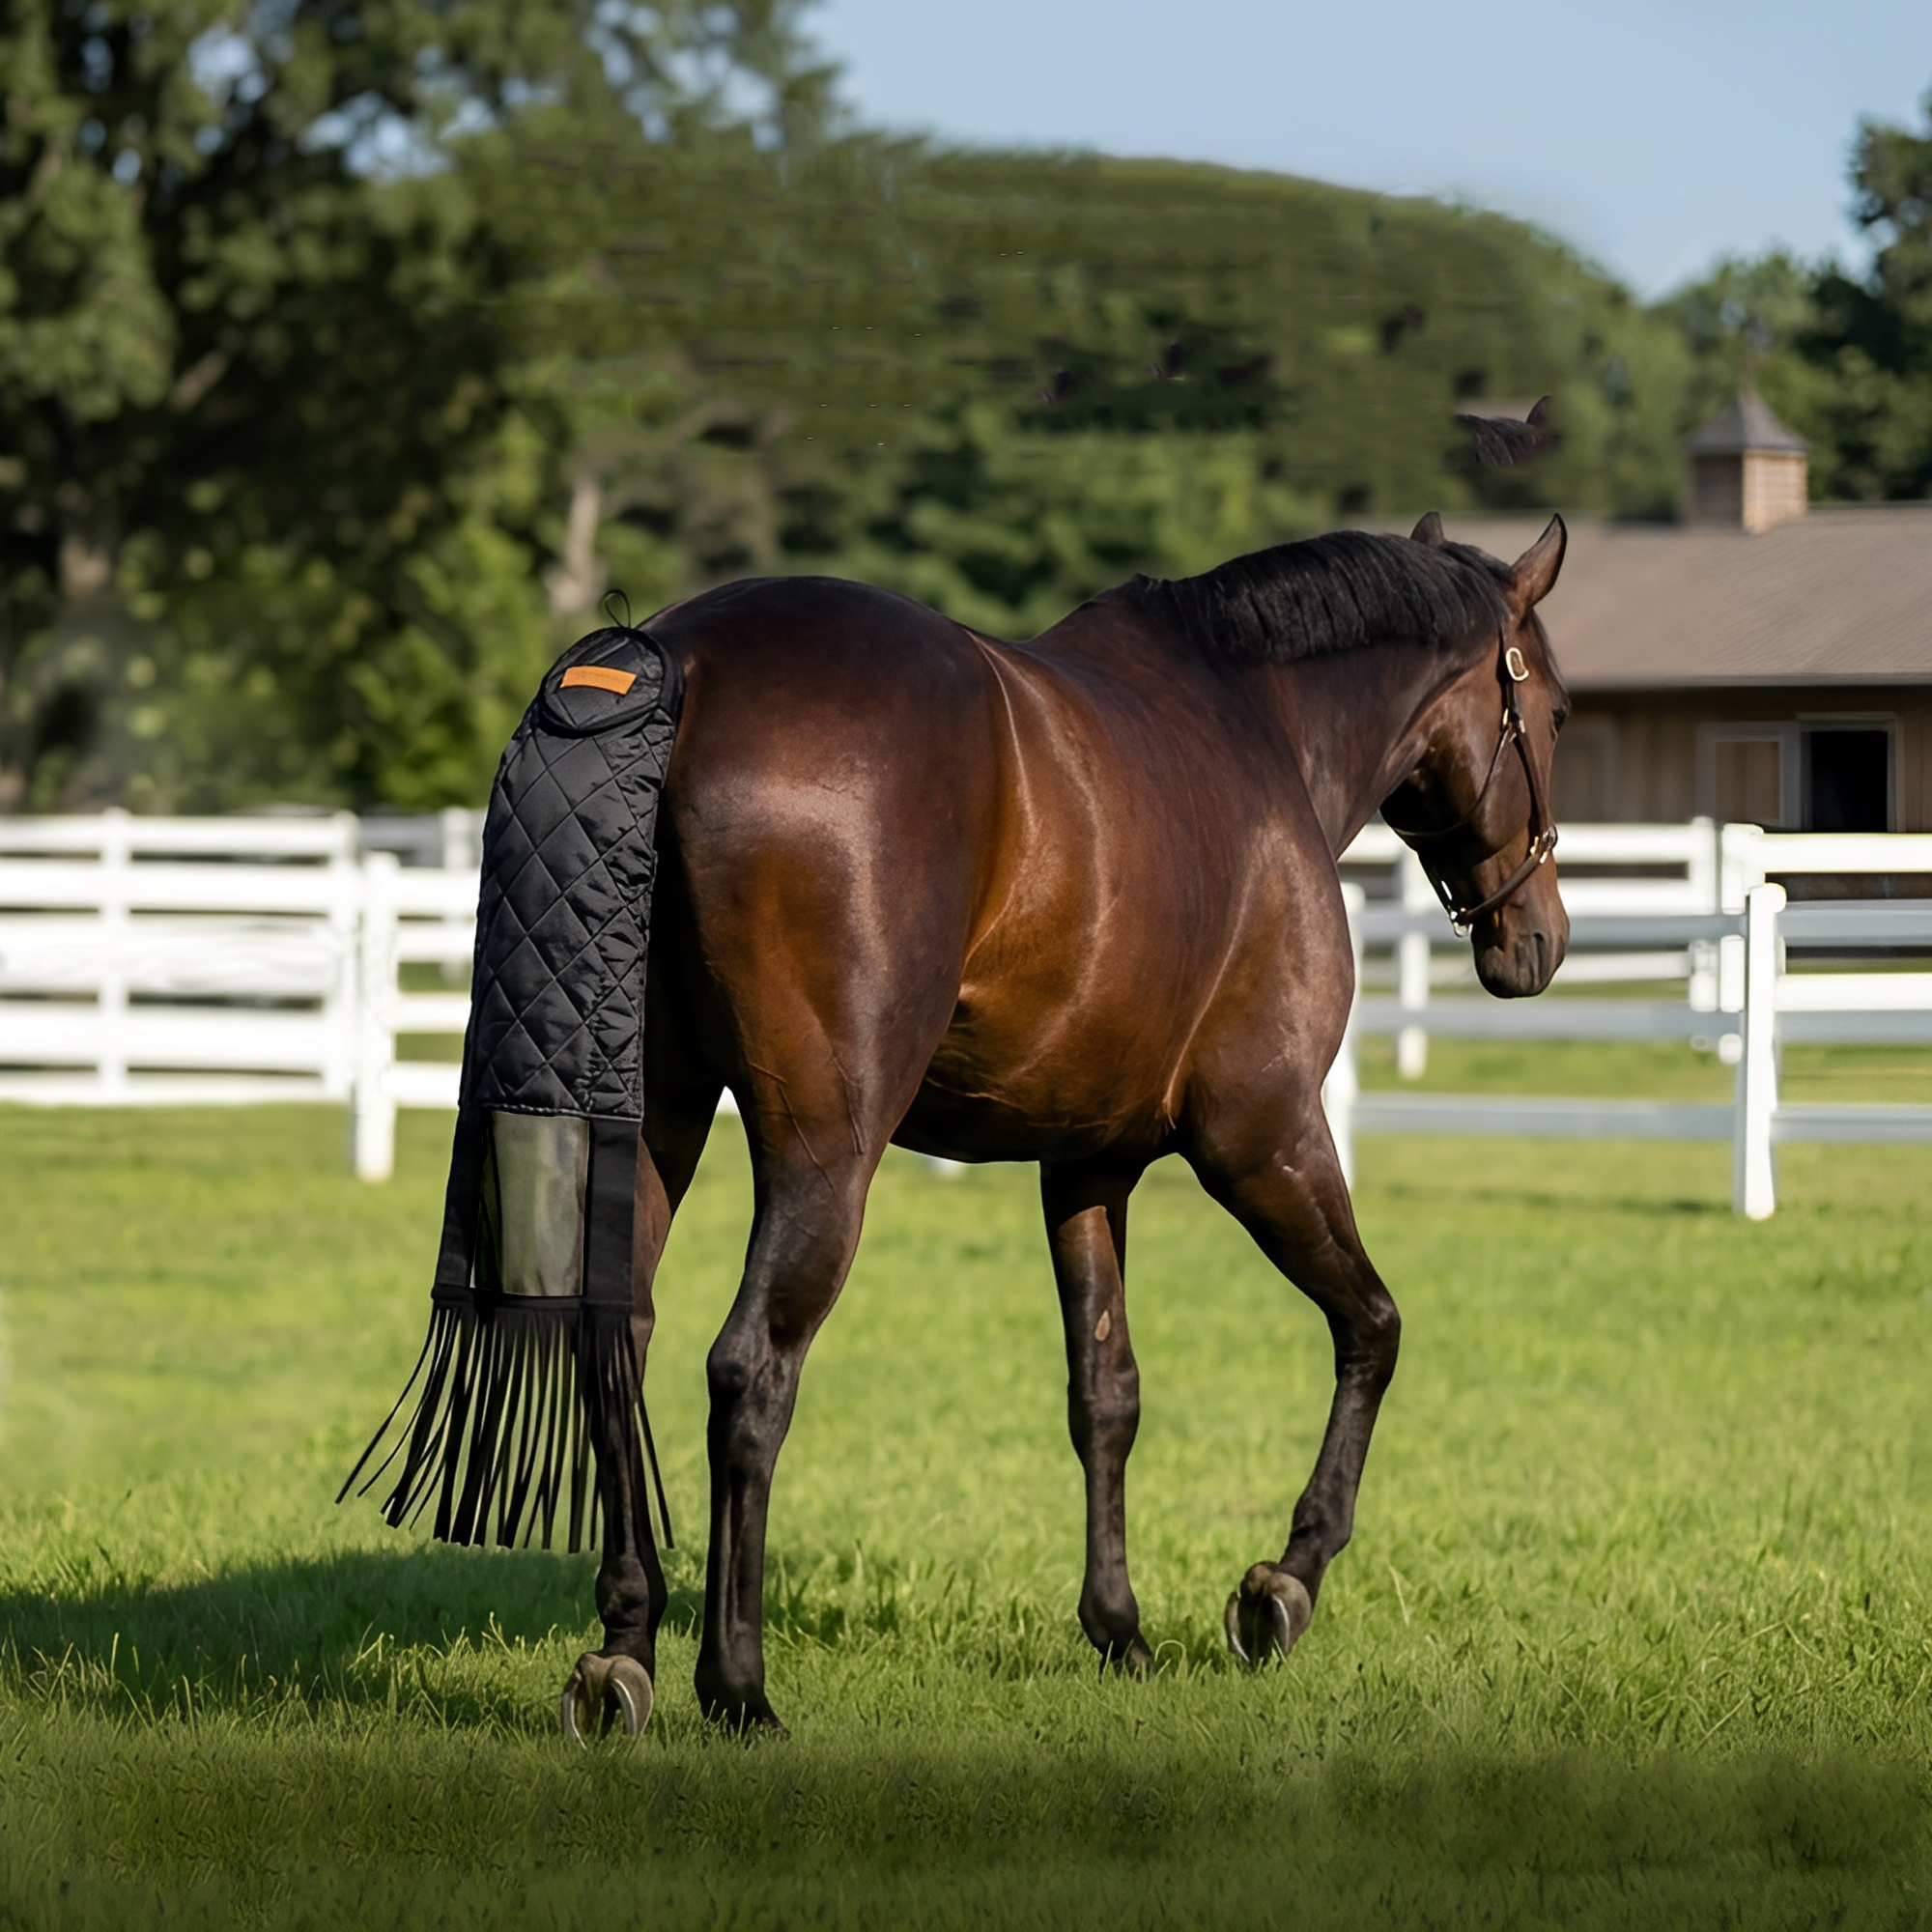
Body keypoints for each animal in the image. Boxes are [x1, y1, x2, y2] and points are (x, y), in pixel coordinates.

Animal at [547, 509, 1571, 1736]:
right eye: (1557, 710)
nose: (1537, 938)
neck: (1258, 725)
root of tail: (677, 664)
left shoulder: (1087, 1161)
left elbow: (1105, 1391)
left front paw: (1118, 1626)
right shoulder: (1262, 1135)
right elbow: (1372, 1325)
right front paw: (1280, 1585)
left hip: (656, 1115)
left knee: (617, 1336)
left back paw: (624, 1651)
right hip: (821, 1148)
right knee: (751, 1369)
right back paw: (736, 1686)